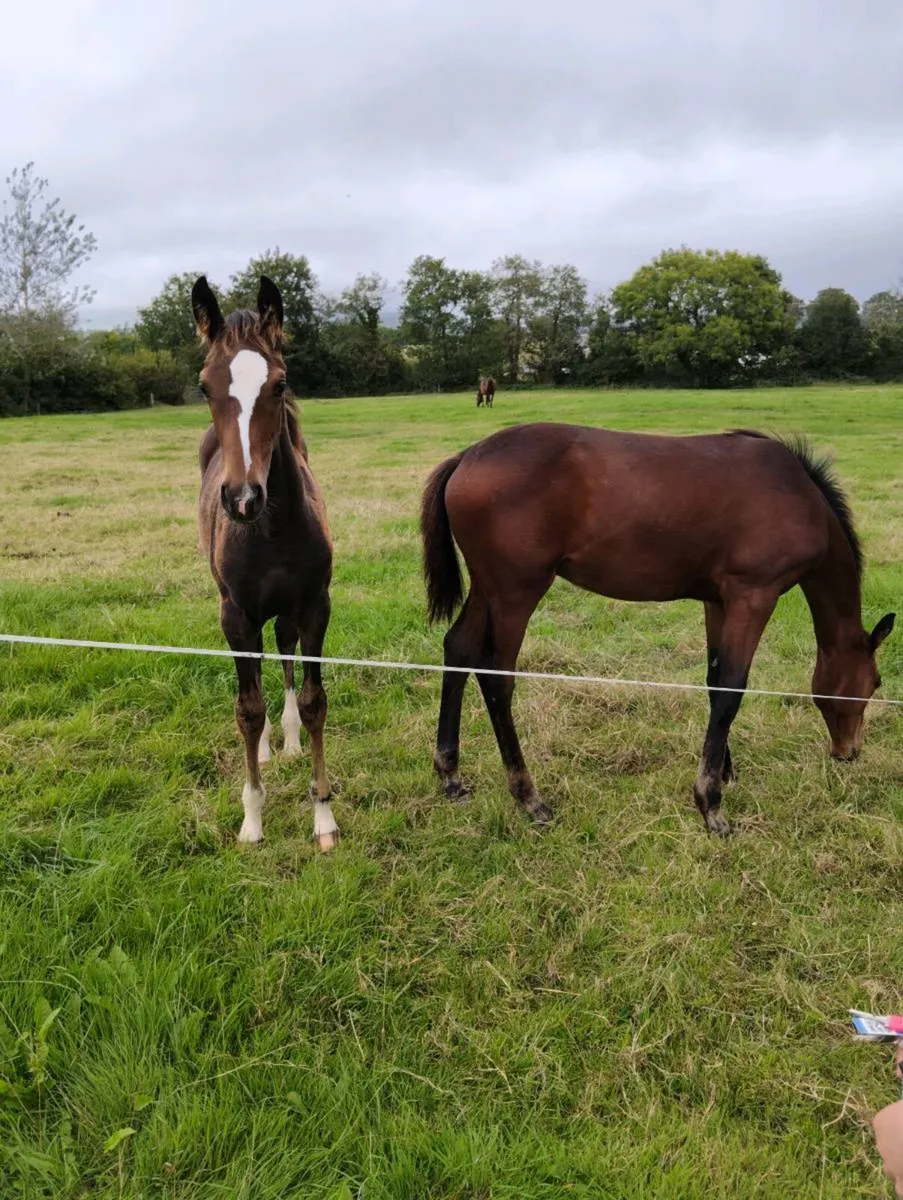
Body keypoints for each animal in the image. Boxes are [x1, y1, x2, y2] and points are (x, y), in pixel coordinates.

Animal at [192, 275, 339, 851]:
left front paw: (323, 815)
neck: (270, 530)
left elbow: (315, 699)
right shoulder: (233, 615)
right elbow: (247, 709)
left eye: (280, 384)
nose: (243, 498)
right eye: (204, 387)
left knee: (283, 652)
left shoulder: (315, 605)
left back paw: (289, 739)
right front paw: (252, 819)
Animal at [420, 422, 895, 836]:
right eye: (875, 682)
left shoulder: (718, 601)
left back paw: (451, 775)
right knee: (496, 677)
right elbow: (732, 689)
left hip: (487, 589)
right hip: (516, 592)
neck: (797, 494)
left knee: (458, 650)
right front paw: (710, 803)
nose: (850, 752)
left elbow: (714, 682)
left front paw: (724, 770)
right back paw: (528, 796)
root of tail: (467, 457)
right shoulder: (753, 595)